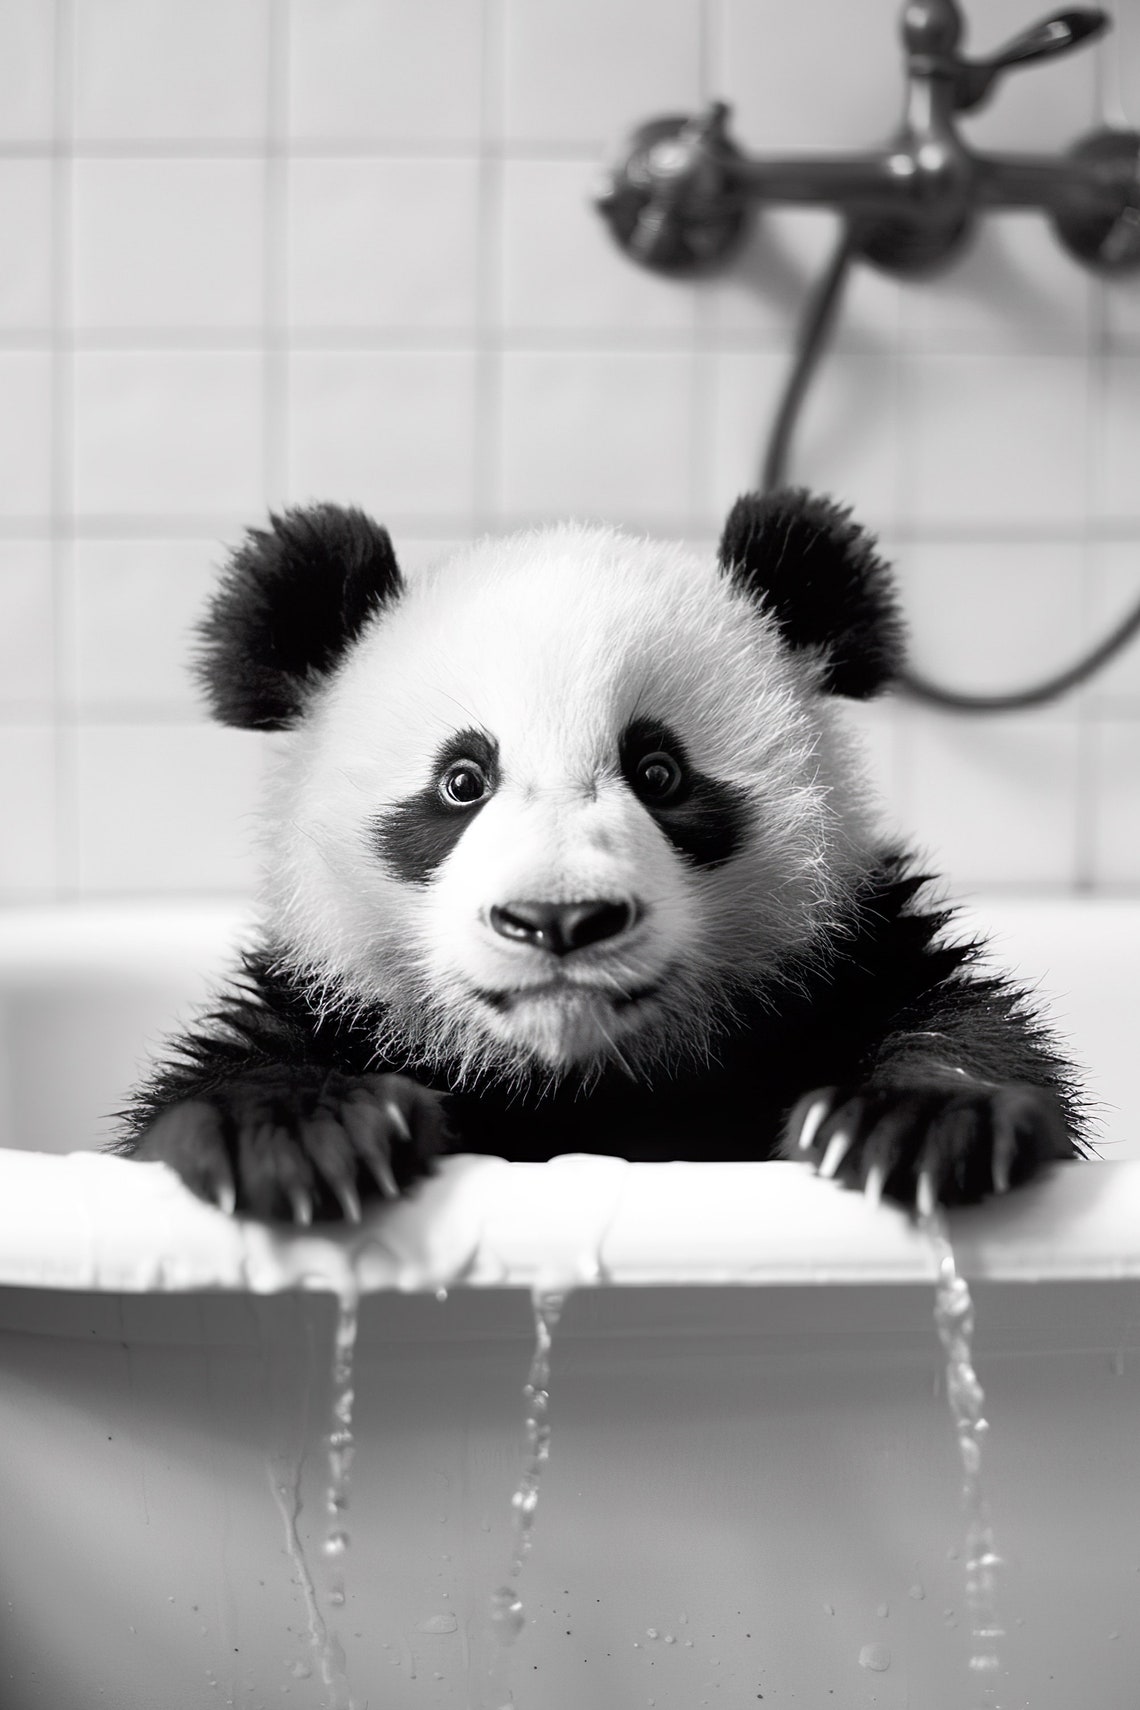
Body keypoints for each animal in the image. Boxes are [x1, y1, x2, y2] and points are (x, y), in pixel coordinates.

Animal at [118, 488, 1086, 1224]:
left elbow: (954, 1022)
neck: (581, 1080)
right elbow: (232, 1074)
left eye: (659, 772)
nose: (560, 920)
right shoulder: (334, 1006)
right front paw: (294, 1136)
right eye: (462, 782)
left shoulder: (840, 964)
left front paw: (919, 1127)